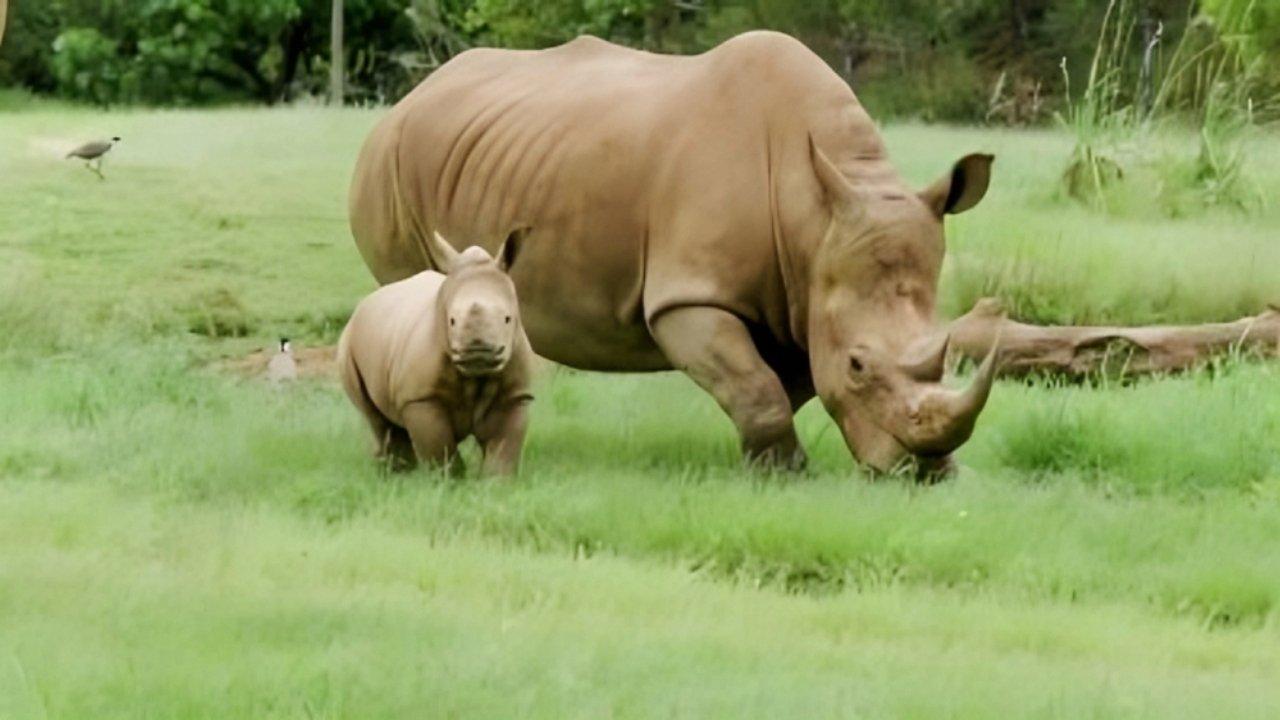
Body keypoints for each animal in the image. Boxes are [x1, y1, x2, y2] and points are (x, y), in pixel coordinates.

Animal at [337, 232, 534, 475]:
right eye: (452, 321)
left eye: (508, 319)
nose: (478, 351)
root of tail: (364, 305)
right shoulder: (420, 398)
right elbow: (440, 449)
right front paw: (450, 479)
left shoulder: (516, 395)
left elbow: (503, 447)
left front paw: (495, 481)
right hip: (348, 343)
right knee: (378, 422)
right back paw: (395, 475)